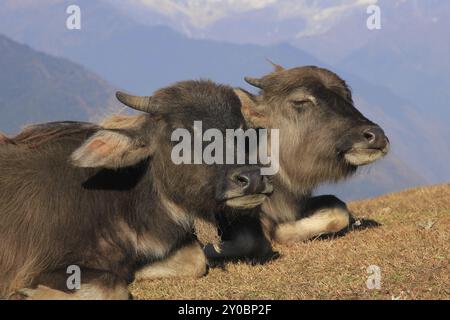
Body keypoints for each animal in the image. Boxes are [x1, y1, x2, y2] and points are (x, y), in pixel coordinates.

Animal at [0, 80, 270, 300]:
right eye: (181, 132)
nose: (252, 178)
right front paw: (23, 293)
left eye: (242, 131)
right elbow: (112, 287)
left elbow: (195, 259)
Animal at [205, 63, 390, 264]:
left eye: (347, 97)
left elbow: (339, 211)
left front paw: (283, 231)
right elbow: (249, 241)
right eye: (300, 101)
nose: (376, 136)